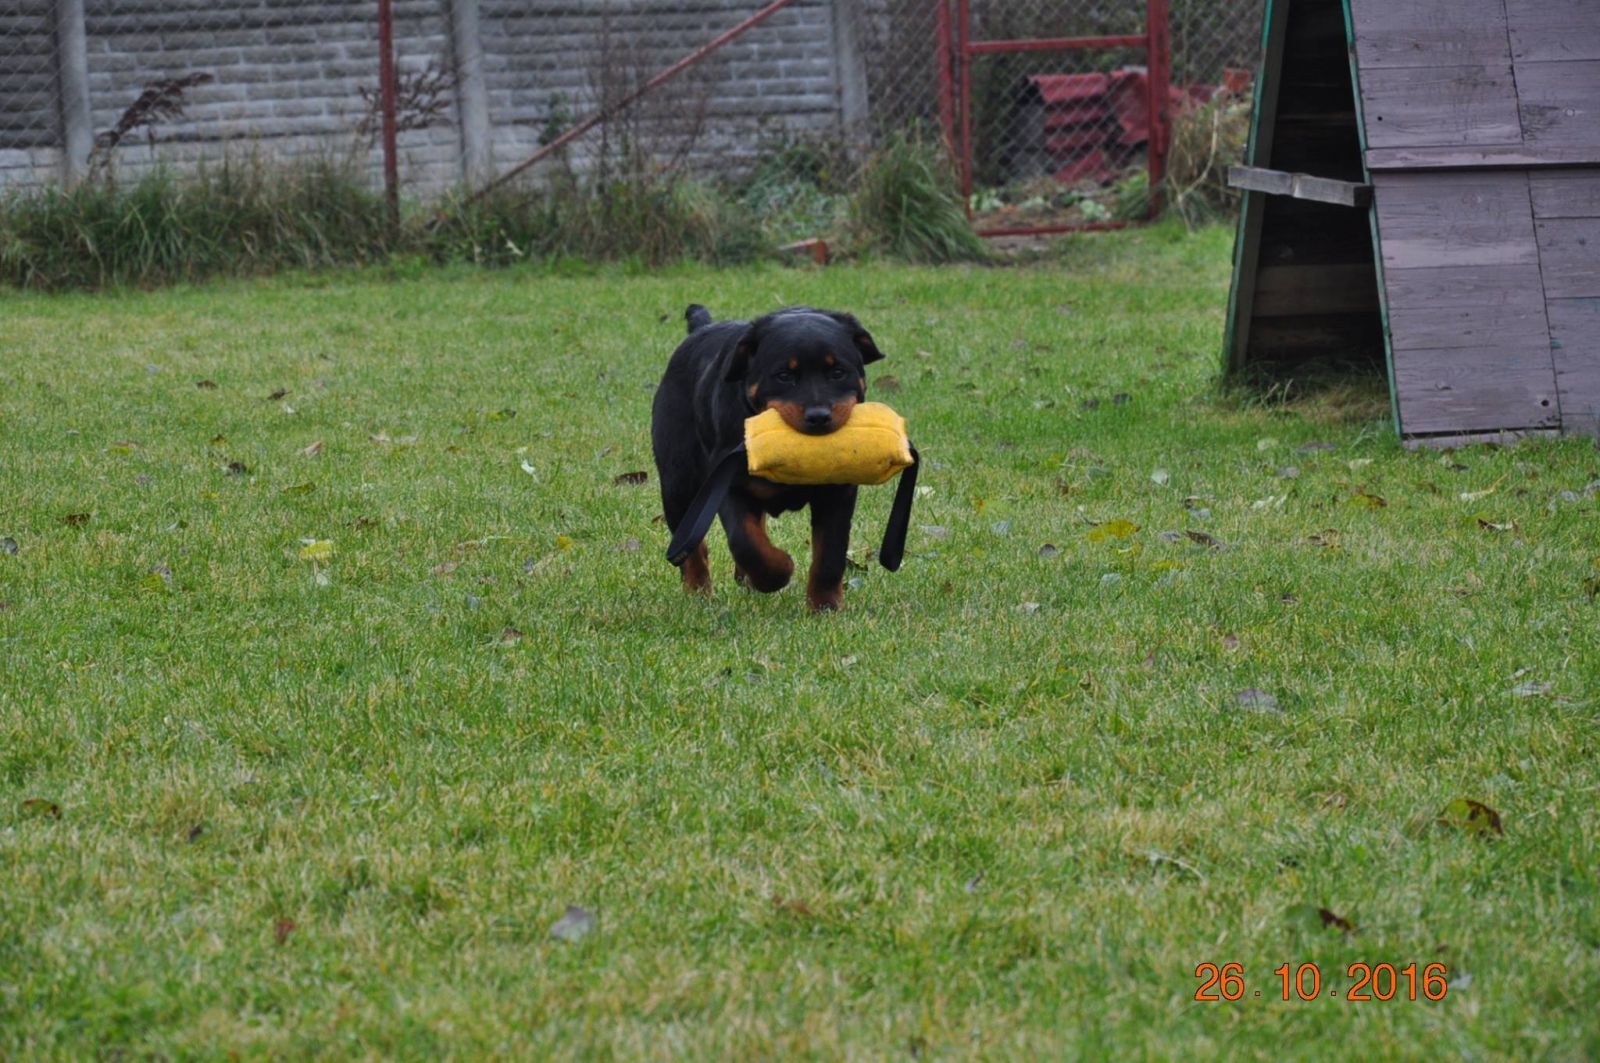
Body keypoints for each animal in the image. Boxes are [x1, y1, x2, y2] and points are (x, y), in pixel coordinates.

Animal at [651, 304, 884, 612]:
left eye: (837, 372)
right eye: (784, 375)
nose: (819, 416)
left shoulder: (837, 493)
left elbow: (830, 554)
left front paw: (825, 606)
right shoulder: (729, 483)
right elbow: (746, 542)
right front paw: (777, 572)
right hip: (678, 483)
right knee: (692, 545)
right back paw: (698, 592)